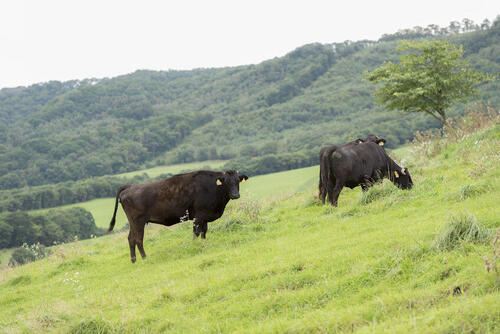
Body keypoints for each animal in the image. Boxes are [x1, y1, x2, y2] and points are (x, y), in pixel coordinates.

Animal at [110, 171, 250, 262]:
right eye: (226, 182)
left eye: (238, 181)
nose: (235, 195)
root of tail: (130, 186)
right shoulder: (199, 215)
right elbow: (196, 232)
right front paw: (195, 245)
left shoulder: (205, 216)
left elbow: (204, 231)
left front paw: (204, 243)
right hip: (138, 221)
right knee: (138, 239)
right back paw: (145, 258)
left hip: (133, 223)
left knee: (131, 238)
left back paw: (134, 259)